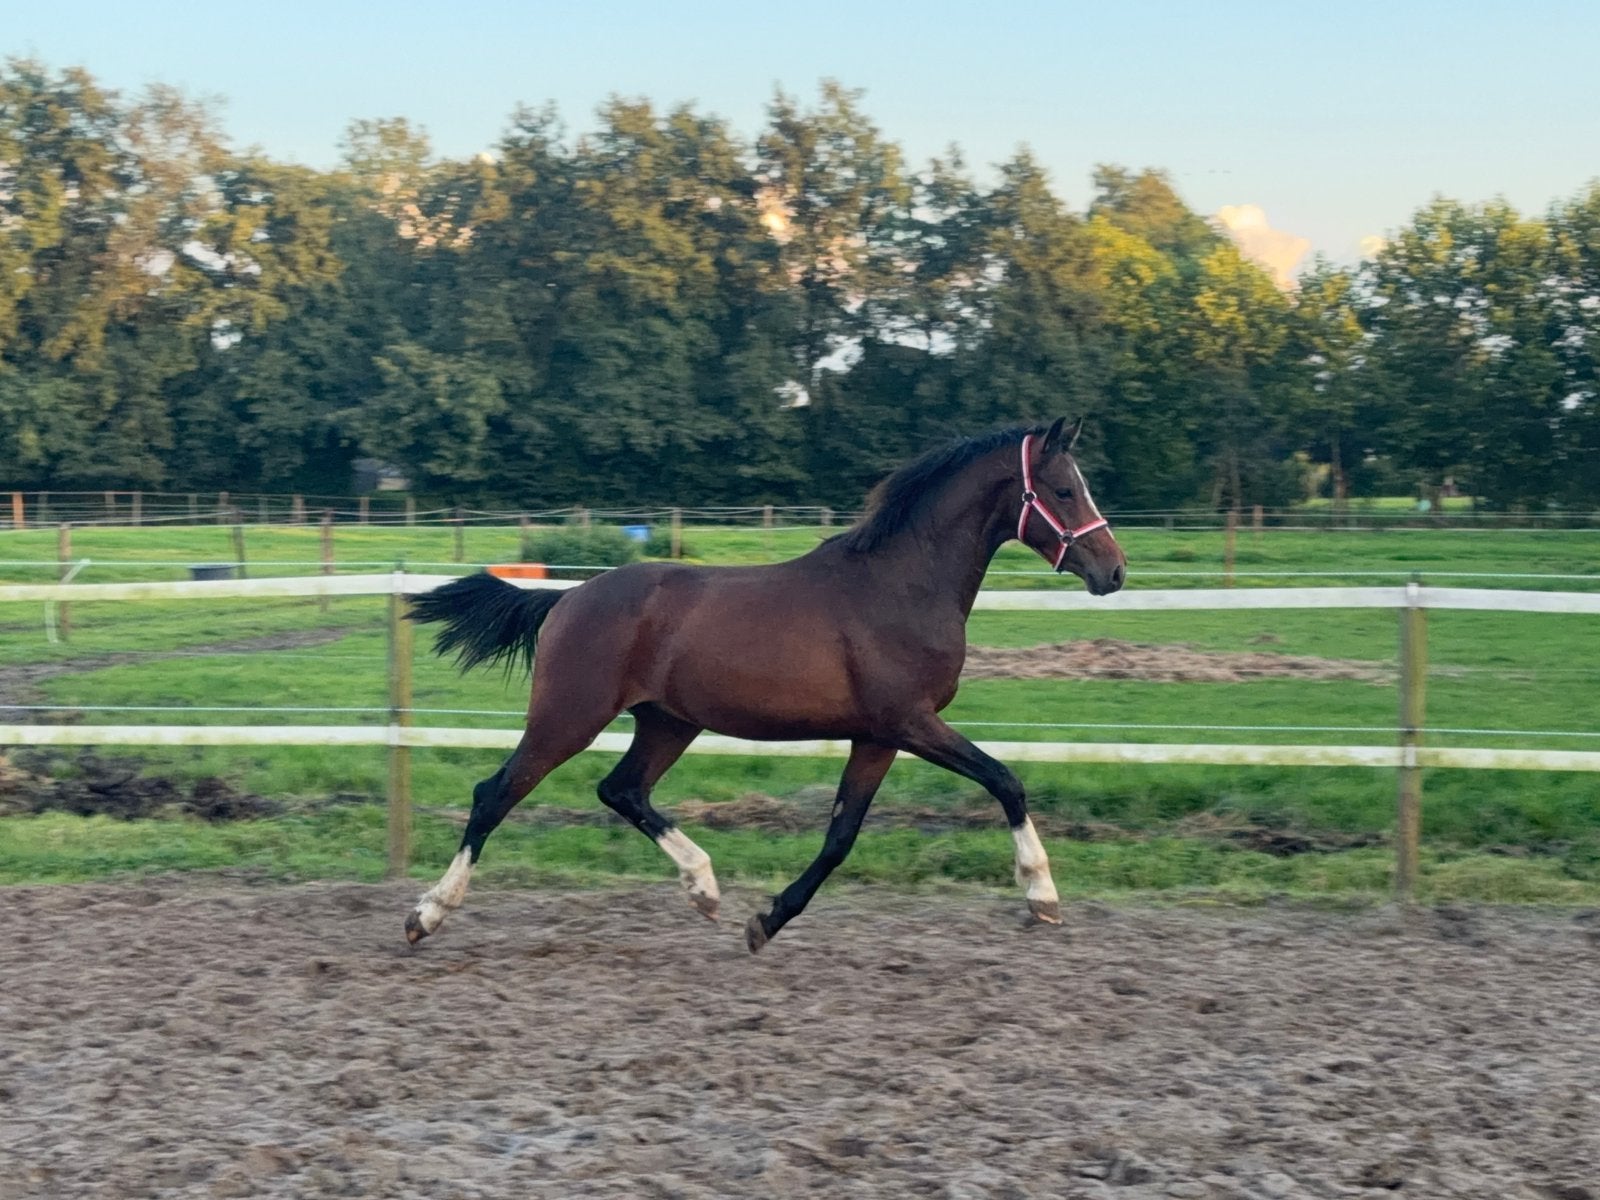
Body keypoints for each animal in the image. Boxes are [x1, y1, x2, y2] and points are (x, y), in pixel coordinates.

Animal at [404, 417, 1126, 953]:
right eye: (1064, 490)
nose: (1113, 570)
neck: (900, 585)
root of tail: (567, 597)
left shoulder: (876, 737)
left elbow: (840, 837)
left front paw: (765, 921)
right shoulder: (909, 722)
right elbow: (1005, 780)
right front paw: (1042, 897)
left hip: (669, 722)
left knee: (622, 789)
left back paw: (704, 888)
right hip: (568, 717)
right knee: (495, 794)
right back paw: (426, 915)